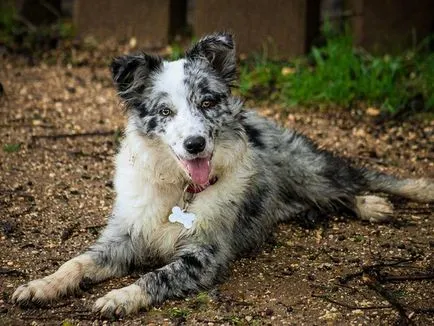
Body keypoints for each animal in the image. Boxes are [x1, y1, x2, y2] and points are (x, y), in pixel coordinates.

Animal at [11, 33, 432, 318]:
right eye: (164, 111)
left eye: (208, 102)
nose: (195, 144)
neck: (182, 189)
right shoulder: (124, 237)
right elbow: (76, 262)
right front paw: (40, 286)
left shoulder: (204, 256)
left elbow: (155, 276)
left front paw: (119, 297)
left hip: (308, 170)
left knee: (356, 179)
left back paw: (388, 198)